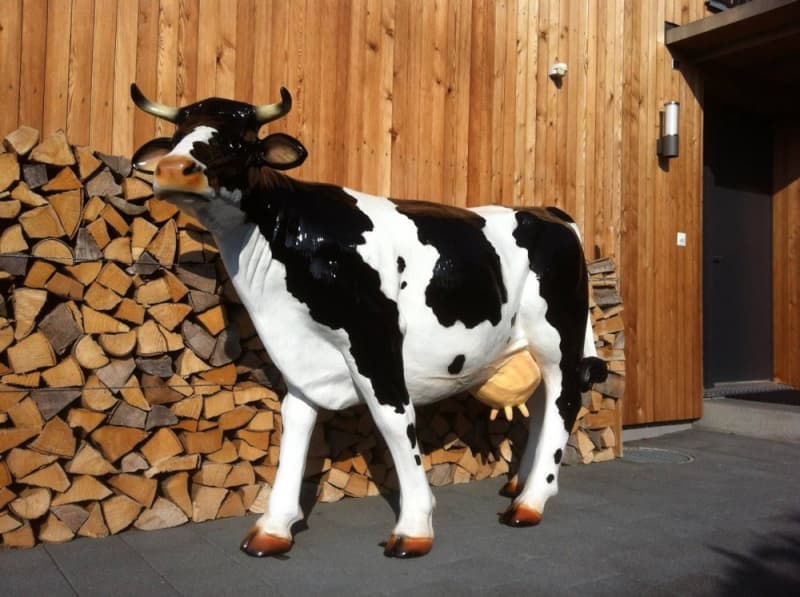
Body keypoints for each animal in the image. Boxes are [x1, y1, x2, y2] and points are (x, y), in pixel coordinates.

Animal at [130, 83, 607, 559]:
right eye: (175, 138)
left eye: (240, 142)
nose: (173, 169)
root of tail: (548, 213)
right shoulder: (303, 354)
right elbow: (294, 422)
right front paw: (274, 525)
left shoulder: (375, 341)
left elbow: (394, 422)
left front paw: (414, 525)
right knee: (544, 402)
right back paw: (520, 485)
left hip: (558, 336)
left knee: (564, 401)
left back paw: (531, 502)